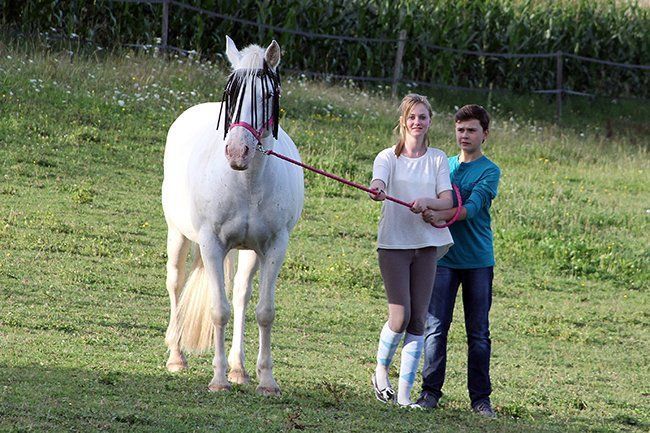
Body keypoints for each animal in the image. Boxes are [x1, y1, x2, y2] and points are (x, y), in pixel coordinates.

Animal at [161, 36, 304, 395]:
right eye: (231, 94)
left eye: (267, 95)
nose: (237, 151)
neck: (246, 182)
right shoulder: (211, 244)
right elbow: (218, 310)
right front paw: (218, 379)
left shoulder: (274, 247)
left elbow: (263, 311)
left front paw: (266, 380)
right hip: (178, 234)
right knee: (175, 282)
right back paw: (176, 356)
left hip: (249, 252)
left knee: (241, 294)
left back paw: (239, 367)